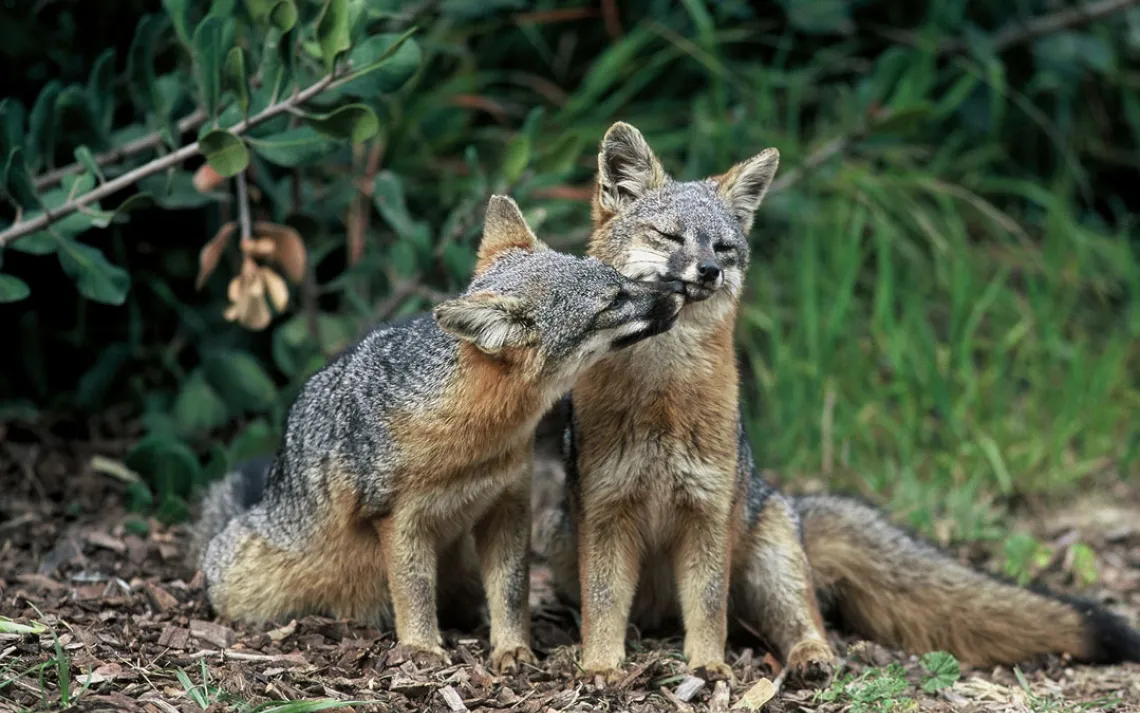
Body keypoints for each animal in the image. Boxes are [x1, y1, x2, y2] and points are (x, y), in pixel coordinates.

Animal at [190, 194, 685, 673]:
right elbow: (414, 591)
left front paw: (512, 649)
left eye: (622, 278)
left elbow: (512, 591)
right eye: (612, 301)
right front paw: (421, 649)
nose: (678, 291)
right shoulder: (399, 520)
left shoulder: (508, 504)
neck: (474, 443)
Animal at [535, 122, 1140, 686]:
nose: (709, 271)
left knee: (797, 623)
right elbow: (604, 607)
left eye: (723, 248)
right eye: (668, 236)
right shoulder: (607, 514)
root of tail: (787, 501)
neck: (662, 399)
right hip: (567, 548)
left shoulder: (707, 515)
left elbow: (708, 613)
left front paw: (709, 666)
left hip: (767, 564)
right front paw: (600, 665)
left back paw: (810, 659)